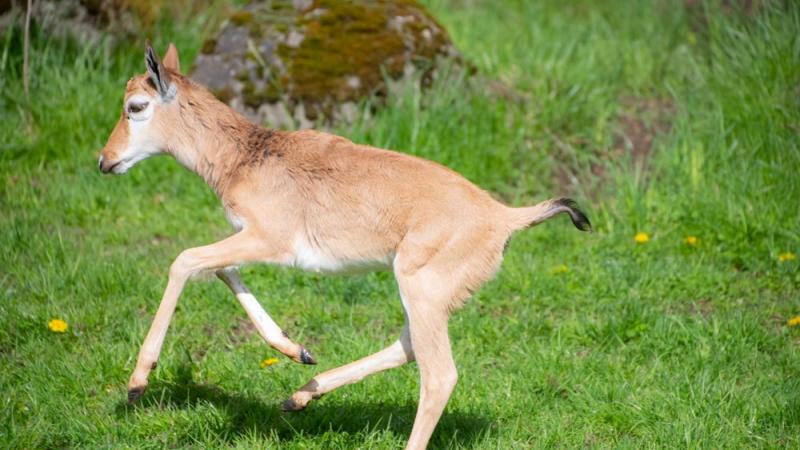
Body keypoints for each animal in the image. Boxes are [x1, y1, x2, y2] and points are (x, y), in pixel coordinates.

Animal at [98, 43, 588, 450]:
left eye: (135, 106)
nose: (105, 161)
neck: (247, 157)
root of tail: (503, 216)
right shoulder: (245, 239)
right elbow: (218, 268)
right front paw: (298, 351)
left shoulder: (269, 240)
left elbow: (185, 260)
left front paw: (137, 384)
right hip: (423, 296)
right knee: (408, 347)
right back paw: (298, 396)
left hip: (421, 290)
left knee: (439, 375)